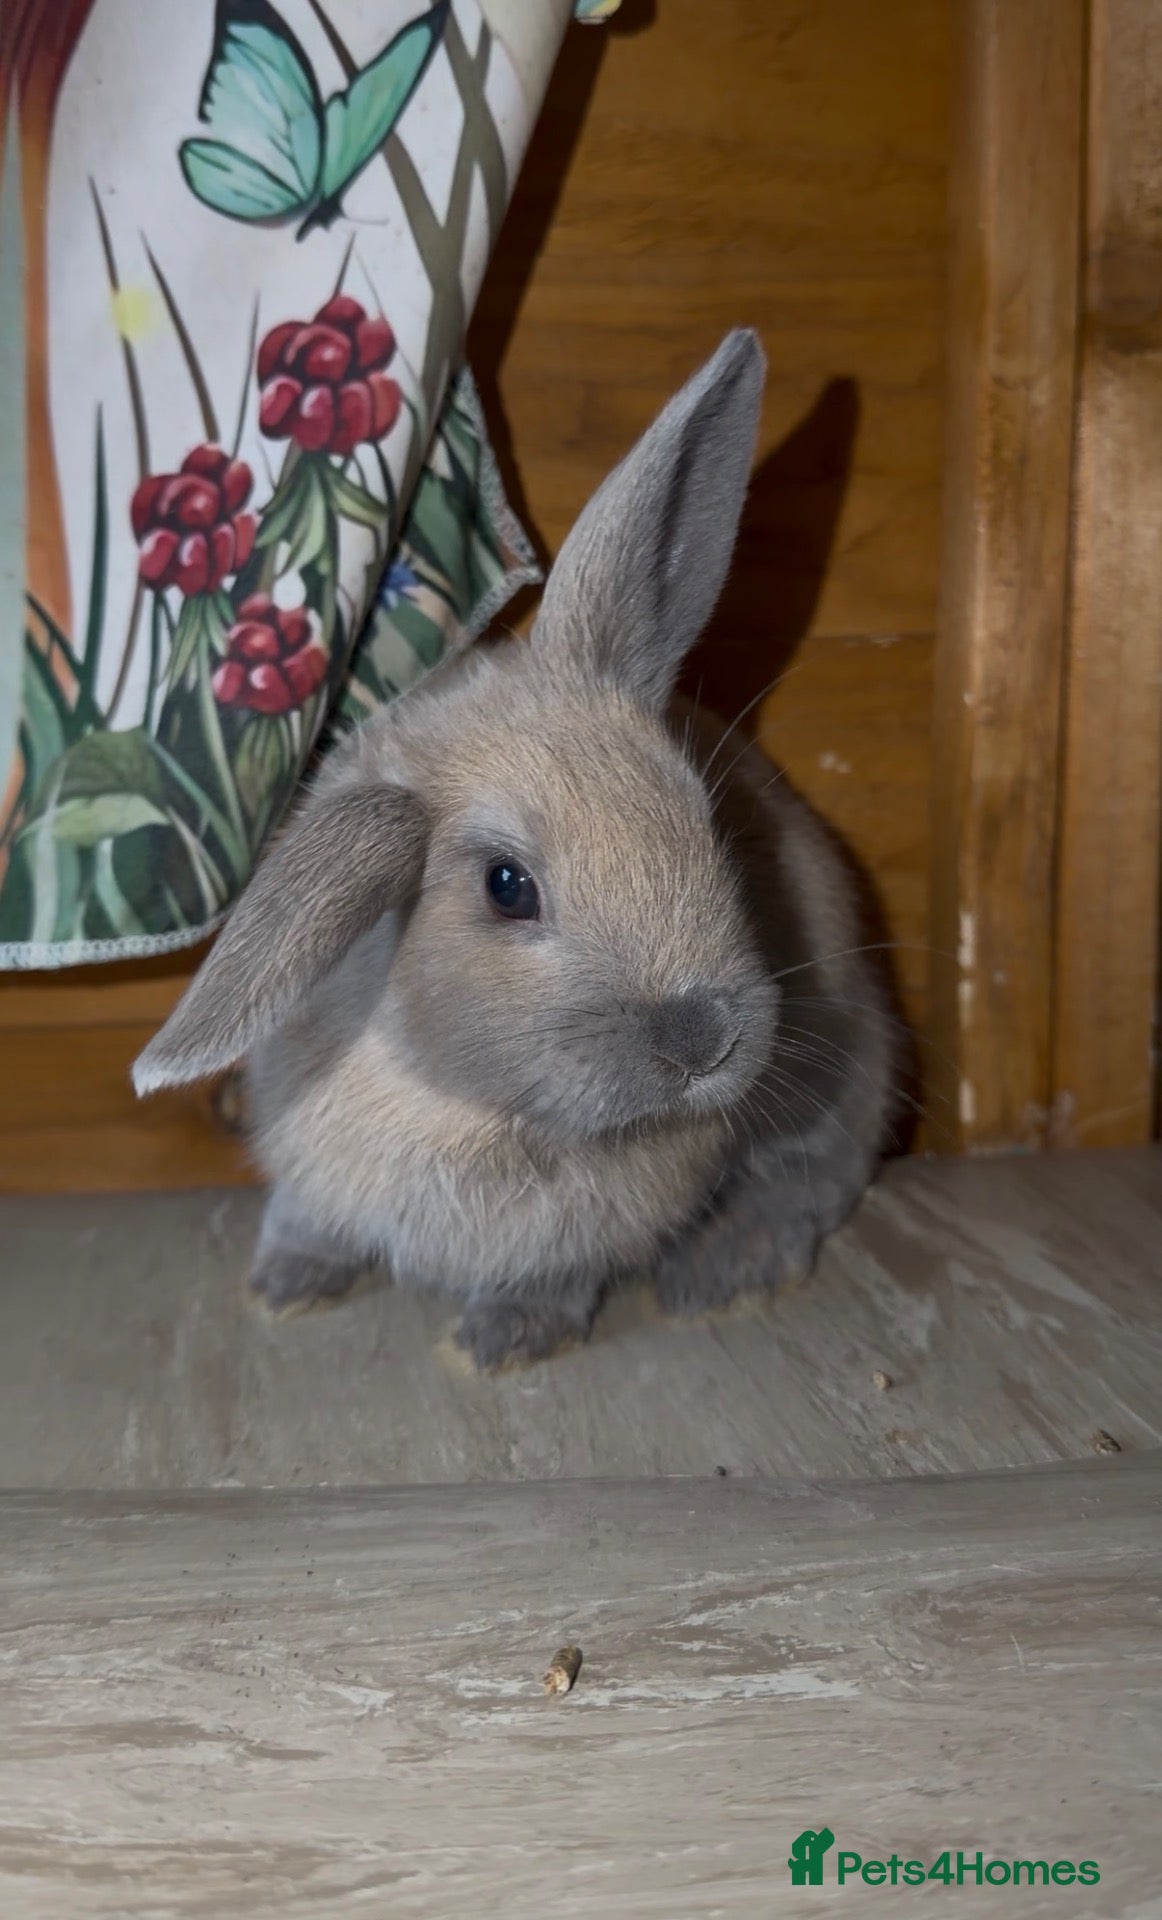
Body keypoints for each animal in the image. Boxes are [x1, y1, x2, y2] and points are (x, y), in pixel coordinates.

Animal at [134, 330, 897, 1369]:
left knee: (812, 1185)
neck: (468, 1107)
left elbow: (554, 1276)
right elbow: (306, 1217)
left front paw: (501, 1341)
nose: (704, 1038)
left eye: (708, 825)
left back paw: (717, 1274)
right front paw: (285, 1284)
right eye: (507, 886)